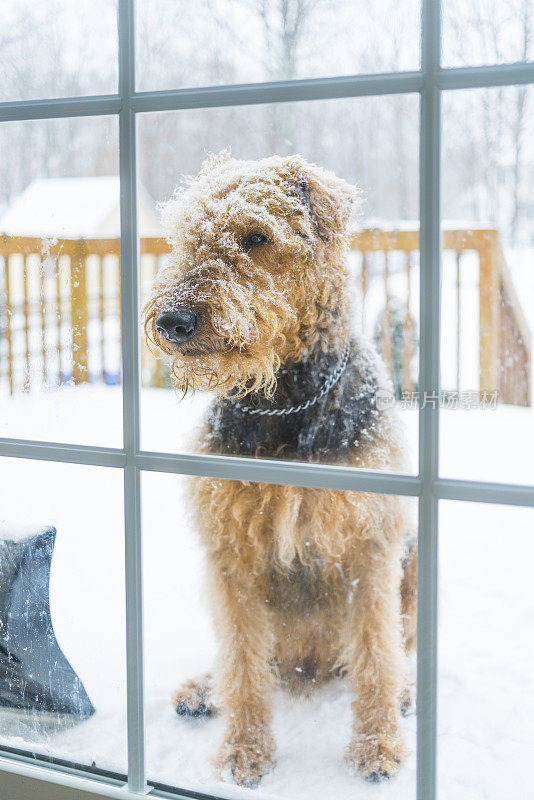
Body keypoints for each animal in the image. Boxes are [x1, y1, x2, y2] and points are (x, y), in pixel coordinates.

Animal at [146, 152, 418, 788]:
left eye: (256, 236)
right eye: (186, 235)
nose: (172, 321)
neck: (284, 406)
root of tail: (308, 665)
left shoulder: (371, 546)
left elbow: (377, 652)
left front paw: (377, 746)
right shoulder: (230, 554)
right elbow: (243, 661)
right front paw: (244, 751)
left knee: (390, 649)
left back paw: (403, 694)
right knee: (251, 660)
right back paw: (205, 689)